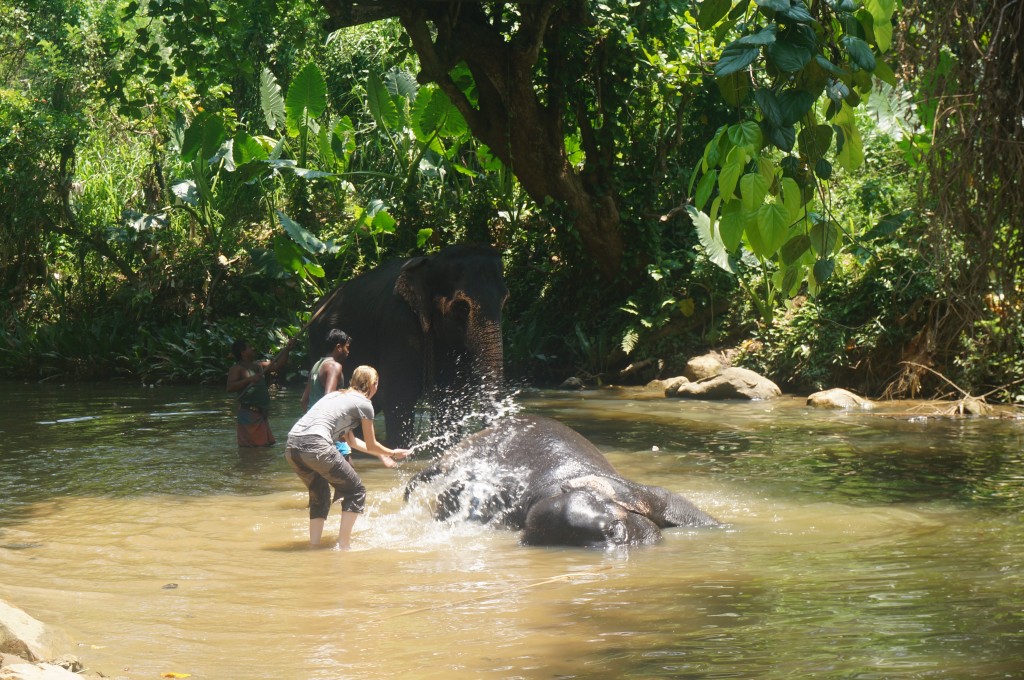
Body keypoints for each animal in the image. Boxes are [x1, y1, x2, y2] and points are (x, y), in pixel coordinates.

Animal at [307, 241, 507, 448]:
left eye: (505, 300)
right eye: (462, 306)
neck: (430, 262)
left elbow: (451, 397)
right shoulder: (397, 323)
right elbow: (400, 395)